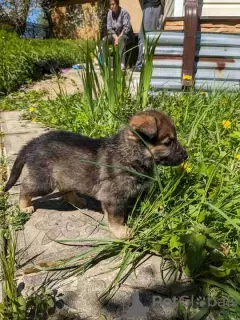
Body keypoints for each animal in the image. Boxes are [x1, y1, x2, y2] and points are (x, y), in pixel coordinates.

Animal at [4, 109, 188, 238]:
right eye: (168, 142)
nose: (186, 155)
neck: (131, 155)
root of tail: (34, 143)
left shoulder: (142, 190)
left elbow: (148, 201)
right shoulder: (113, 198)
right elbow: (117, 217)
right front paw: (121, 232)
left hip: (67, 175)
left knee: (65, 189)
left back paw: (76, 200)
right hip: (44, 181)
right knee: (26, 186)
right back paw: (24, 206)